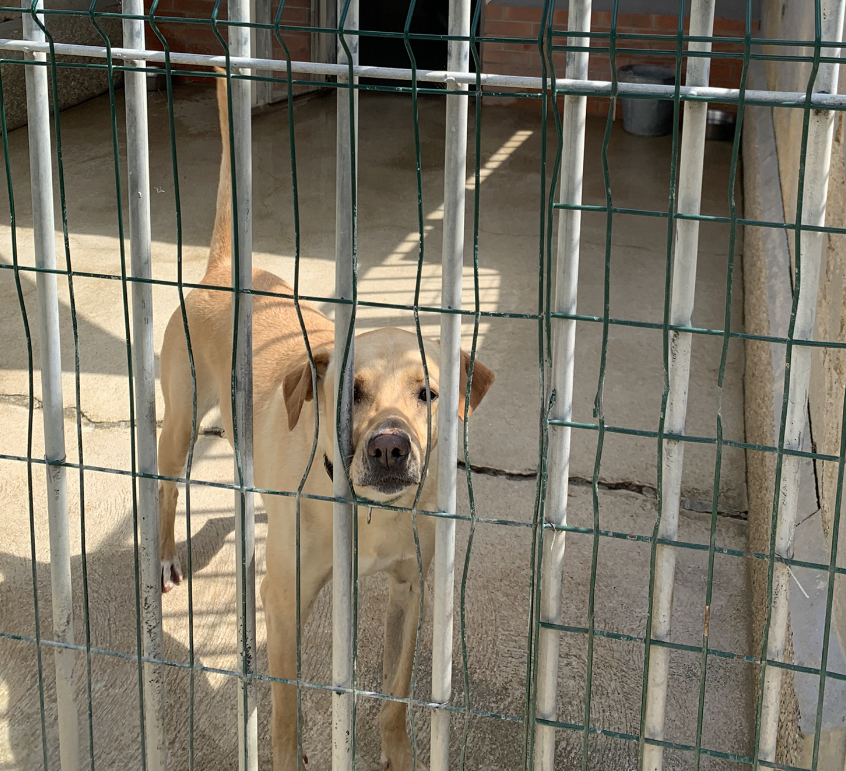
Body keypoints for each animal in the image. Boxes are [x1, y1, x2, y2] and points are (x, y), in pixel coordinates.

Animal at [156, 69, 494, 768]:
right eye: (350, 393)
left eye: (428, 393)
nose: (390, 449)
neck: (369, 513)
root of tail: (223, 270)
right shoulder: (283, 601)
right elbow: (284, 707)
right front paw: (288, 755)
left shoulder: (410, 590)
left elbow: (396, 691)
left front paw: (396, 751)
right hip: (179, 423)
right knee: (166, 485)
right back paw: (168, 557)